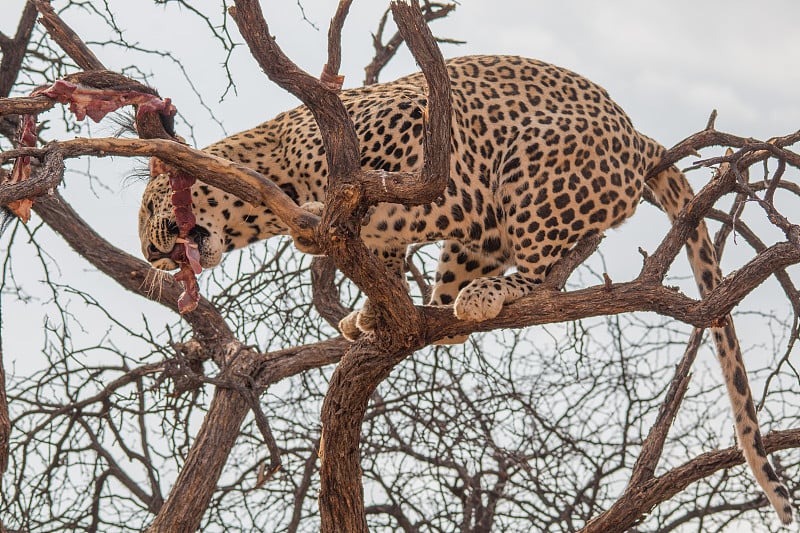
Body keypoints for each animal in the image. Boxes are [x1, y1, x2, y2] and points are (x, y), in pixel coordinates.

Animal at [139, 56, 792, 520]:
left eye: (148, 209)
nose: (148, 257)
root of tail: (638, 137)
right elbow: (380, 250)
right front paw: (374, 313)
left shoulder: (407, 127)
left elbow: (380, 190)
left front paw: (346, 251)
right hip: (482, 231)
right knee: (466, 279)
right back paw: (438, 310)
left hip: (531, 164)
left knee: (539, 268)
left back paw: (492, 294)